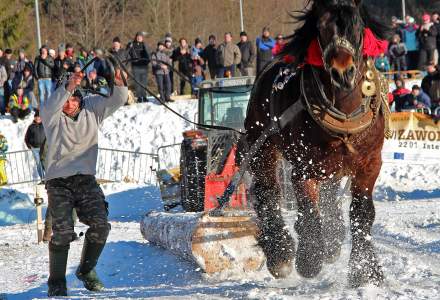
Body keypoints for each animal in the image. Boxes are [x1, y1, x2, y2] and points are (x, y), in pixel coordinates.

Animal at [246, 0, 390, 288]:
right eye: (321, 27)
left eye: (357, 25)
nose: (343, 71)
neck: (344, 112)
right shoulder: (304, 168)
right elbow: (309, 211)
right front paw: (310, 258)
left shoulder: (369, 163)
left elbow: (362, 213)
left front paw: (365, 271)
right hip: (263, 146)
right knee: (267, 192)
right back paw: (280, 253)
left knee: (329, 197)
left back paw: (332, 242)